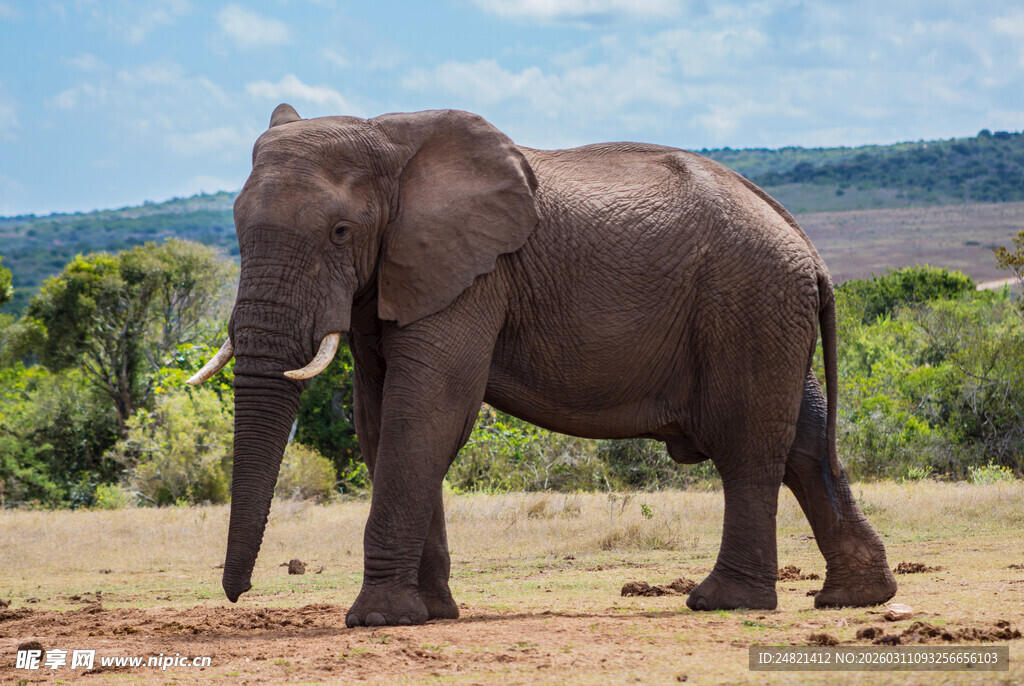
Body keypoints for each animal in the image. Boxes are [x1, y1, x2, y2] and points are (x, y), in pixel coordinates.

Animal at [188, 103, 897, 626]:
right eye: (237, 228)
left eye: (340, 233)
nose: (239, 595)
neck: (387, 135)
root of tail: (809, 247)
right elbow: (380, 420)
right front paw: (434, 614)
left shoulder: (475, 276)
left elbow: (428, 413)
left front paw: (379, 619)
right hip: (768, 316)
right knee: (806, 443)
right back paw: (856, 599)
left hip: (748, 305)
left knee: (750, 447)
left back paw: (722, 602)